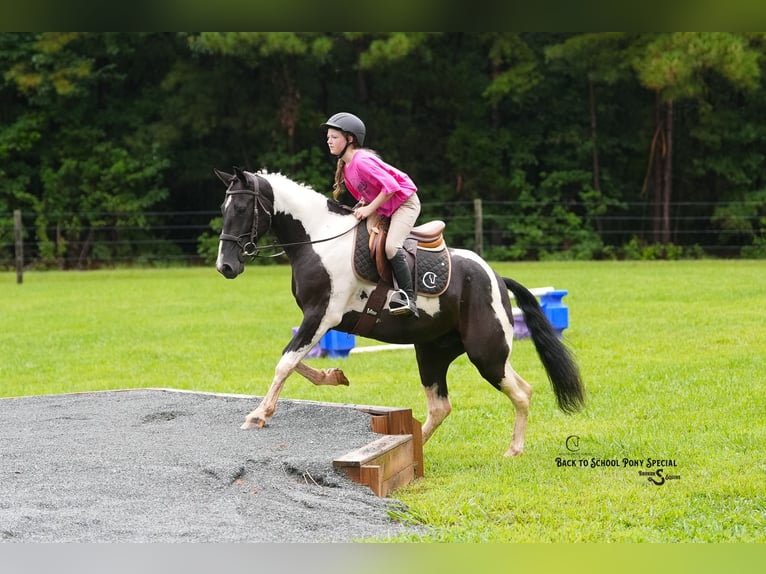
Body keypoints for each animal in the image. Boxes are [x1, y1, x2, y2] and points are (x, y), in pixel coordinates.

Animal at [215, 166, 585, 457]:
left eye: (243, 207)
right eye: (223, 207)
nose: (225, 267)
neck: (318, 239)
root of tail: (495, 275)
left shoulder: (322, 315)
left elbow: (286, 362)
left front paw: (259, 415)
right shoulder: (319, 320)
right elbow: (293, 359)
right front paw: (334, 375)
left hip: (485, 352)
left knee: (521, 392)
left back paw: (514, 450)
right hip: (434, 350)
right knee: (443, 406)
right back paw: (414, 445)